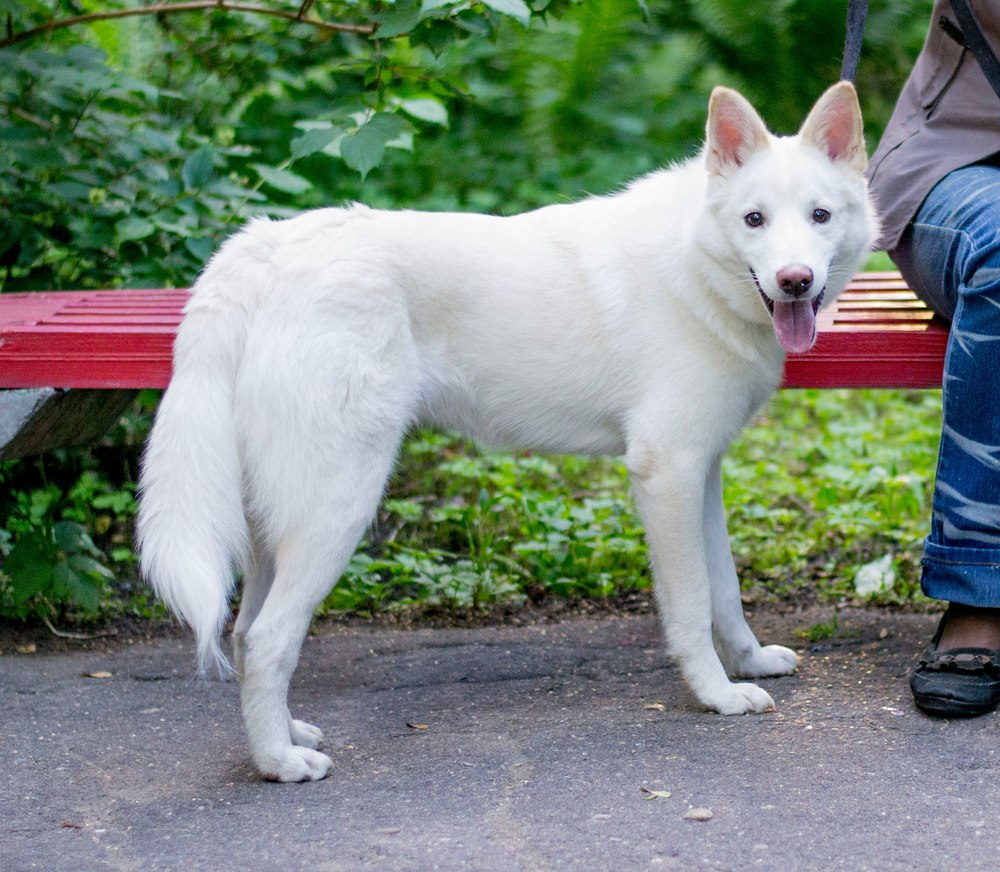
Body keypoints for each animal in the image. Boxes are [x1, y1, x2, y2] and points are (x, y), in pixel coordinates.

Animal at [139, 80, 876, 776]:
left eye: (819, 216)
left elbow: (726, 592)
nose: (794, 280)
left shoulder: (704, 475)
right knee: (268, 640)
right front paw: (717, 696)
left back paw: (287, 735)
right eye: (754, 219)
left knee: (243, 634)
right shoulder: (667, 474)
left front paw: (748, 664)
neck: (694, 262)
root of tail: (268, 246)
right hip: (336, 509)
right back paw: (279, 763)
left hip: (277, 528)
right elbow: (693, 607)